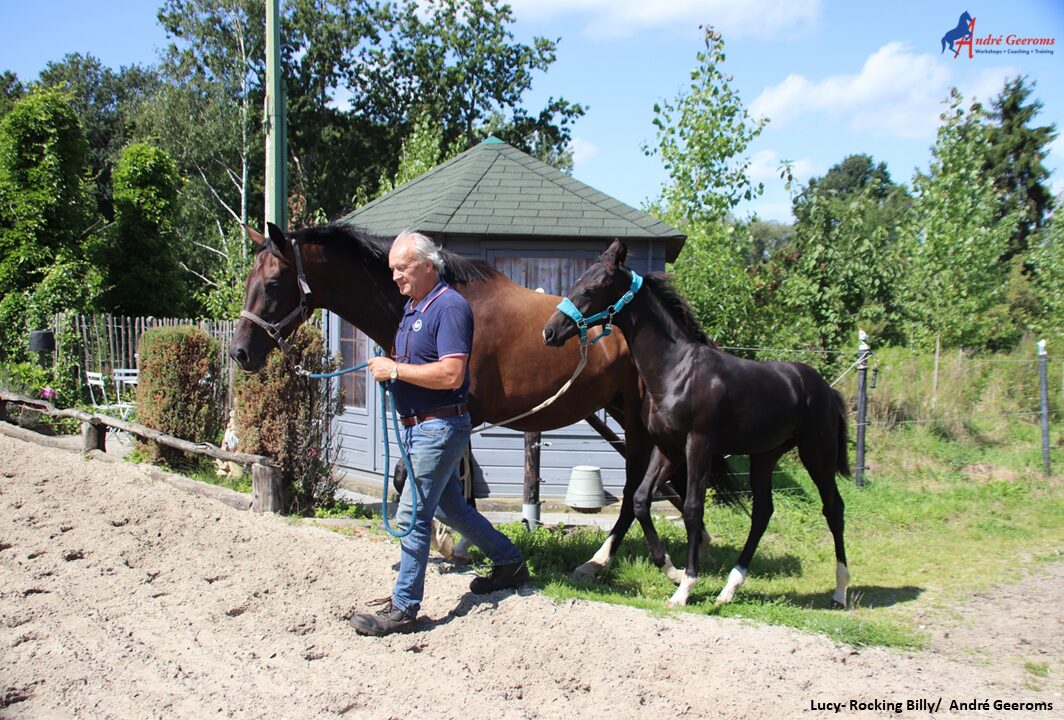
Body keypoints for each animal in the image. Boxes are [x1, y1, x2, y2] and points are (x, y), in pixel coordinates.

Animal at [227, 223, 736, 578]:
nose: (241, 352)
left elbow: (428, 481)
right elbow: (441, 485)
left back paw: (599, 561)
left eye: (272, 285)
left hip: (633, 418)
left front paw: (449, 540)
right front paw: (456, 542)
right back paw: (700, 544)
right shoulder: (452, 417)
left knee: (633, 488)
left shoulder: (462, 414)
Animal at [544, 240, 851, 608]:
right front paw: (670, 569)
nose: (549, 332)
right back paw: (729, 589)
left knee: (834, 508)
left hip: (817, 454)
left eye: (591, 288)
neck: (676, 370)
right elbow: (641, 499)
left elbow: (692, 508)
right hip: (765, 456)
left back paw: (840, 591)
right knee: (763, 512)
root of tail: (827, 390)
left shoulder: (698, 446)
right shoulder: (668, 449)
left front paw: (685, 586)